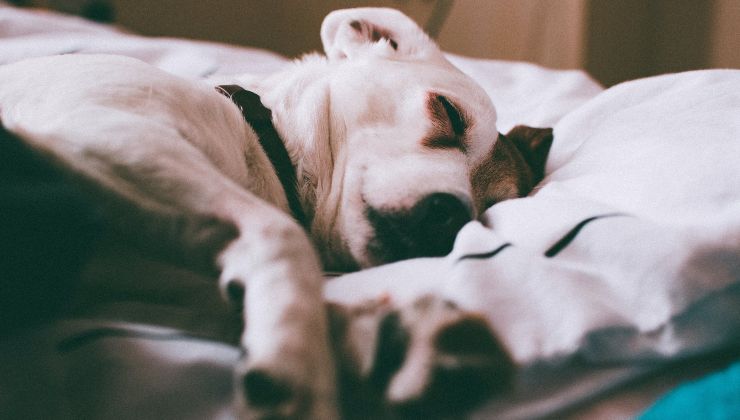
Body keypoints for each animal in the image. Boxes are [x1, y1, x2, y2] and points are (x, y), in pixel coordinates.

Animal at [0, 7, 552, 420]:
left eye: (493, 208)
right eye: (450, 114)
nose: (451, 216)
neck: (262, 145)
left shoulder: (138, 282)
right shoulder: (106, 132)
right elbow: (285, 237)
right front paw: (295, 360)